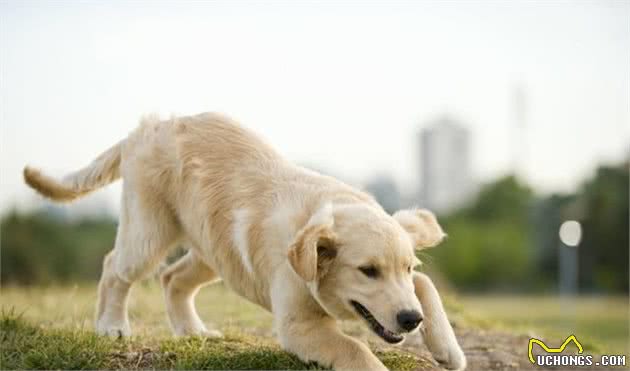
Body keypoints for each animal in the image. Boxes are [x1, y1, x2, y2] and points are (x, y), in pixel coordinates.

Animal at [23, 113, 470, 371]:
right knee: (114, 269)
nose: (410, 320)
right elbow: (355, 350)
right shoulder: (299, 325)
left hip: (213, 251)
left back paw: (194, 332)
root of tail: (149, 126)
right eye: (367, 271)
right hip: (148, 233)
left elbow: (426, 287)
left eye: (406, 267)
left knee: (172, 278)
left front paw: (448, 348)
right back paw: (112, 325)